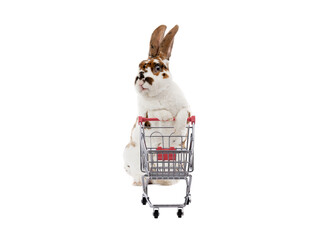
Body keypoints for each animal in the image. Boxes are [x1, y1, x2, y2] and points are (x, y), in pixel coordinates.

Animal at [124, 24, 191, 186]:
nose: (140, 78)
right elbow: (155, 111)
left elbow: (182, 114)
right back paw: (139, 181)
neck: (159, 94)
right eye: (139, 67)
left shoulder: (187, 109)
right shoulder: (146, 116)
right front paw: (167, 116)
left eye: (158, 68)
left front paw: (177, 126)